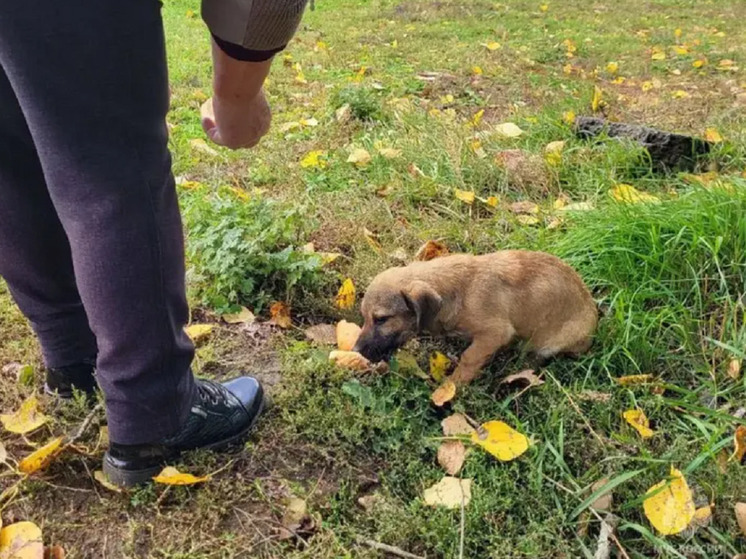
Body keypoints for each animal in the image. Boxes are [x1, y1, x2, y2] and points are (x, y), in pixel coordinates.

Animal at [352, 253, 596, 388]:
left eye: (381, 319)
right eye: (364, 317)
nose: (355, 351)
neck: (458, 292)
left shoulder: (495, 332)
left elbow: (469, 358)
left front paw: (450, 388)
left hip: (552, 343)